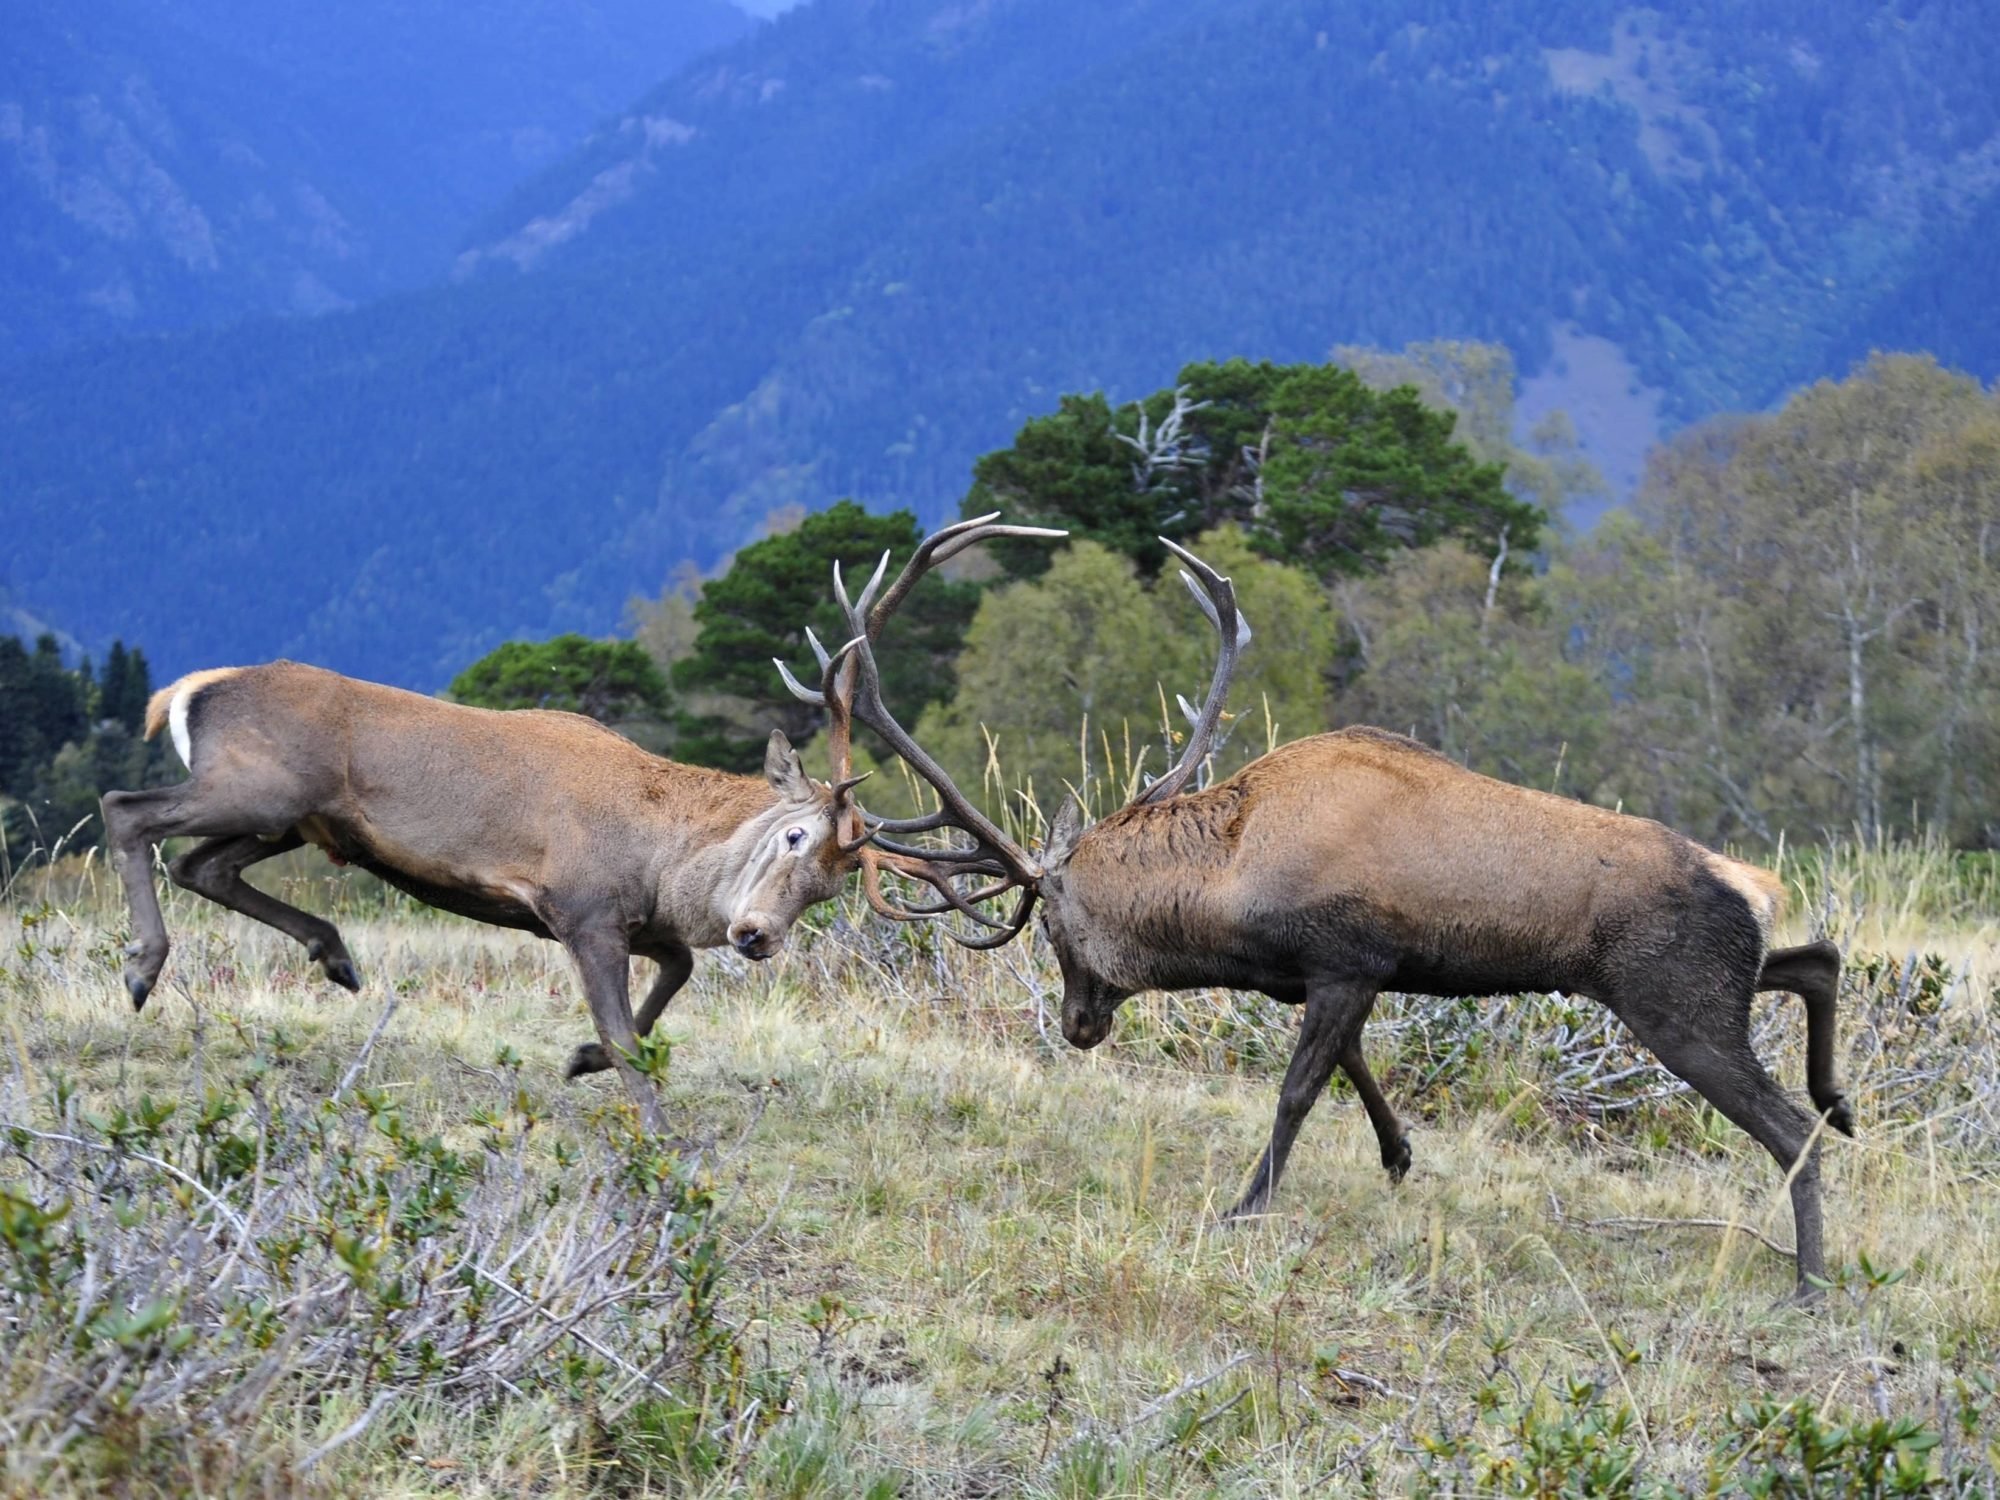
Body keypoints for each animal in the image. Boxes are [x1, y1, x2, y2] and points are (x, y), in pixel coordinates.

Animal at [97, 516, 1062, 1133]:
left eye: (830, 891)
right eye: (793, 836)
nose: (755, 935)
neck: (662, 860)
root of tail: (187, 689)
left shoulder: (638, 923)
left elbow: (669, 984)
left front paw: (579, 1059)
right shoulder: (582, 907)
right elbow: (632, 1036)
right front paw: (661, 1136)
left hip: (294, 819)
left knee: (203, 865)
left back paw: (333, 956)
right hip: (258, 787)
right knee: (127, 810)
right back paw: (143, 968)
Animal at [786, 536, 1851, 1299]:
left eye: (1054, 931)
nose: (1078, 1026)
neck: (1232, 884)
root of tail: (1749, 880)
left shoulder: (1345, 959)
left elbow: (1299, 1089)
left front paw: (1245, 1206)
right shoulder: (1343, 975)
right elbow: (1353, 1065)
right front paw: (1398, 1154)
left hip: (1672, 1000)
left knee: (1786, 1120)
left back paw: (1811, 1276)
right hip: (1703, 978)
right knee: (1816, 959)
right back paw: (1838, 1099)